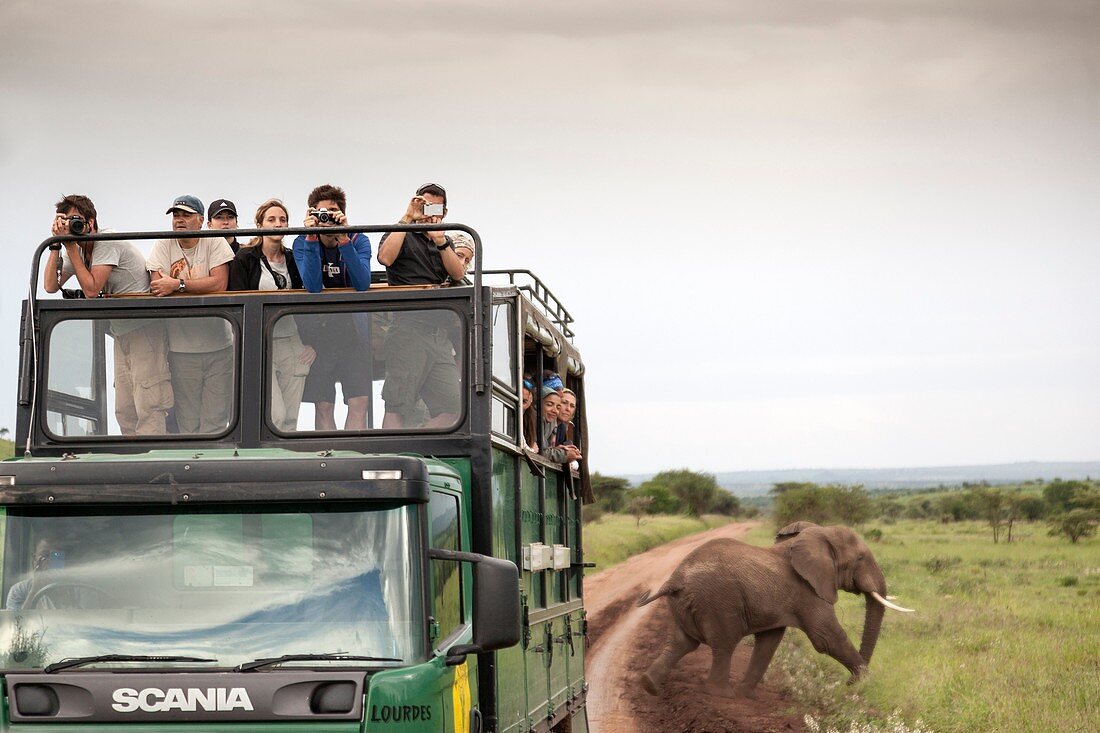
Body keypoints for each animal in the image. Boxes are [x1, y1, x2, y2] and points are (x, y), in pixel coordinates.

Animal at [638, 519, 910, 695]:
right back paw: (721, 694)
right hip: (717, 603)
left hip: (683, 604)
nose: (848, 685)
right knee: (723, 644)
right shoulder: (808, 590)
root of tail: (675, 579)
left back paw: (649, 685)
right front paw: (868, 682)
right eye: (861, 558)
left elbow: (769, 642)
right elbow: (827, 638)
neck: (816, 535)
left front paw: (747, 695)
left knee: (681, 643)